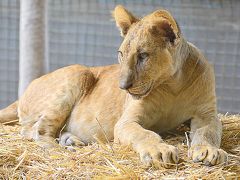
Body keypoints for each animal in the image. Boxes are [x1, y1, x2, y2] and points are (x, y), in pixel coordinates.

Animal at [0, 5, 227, 167]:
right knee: (34, 131)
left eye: (143, 56)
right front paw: (159, 150)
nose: (123, 86)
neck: (173, 85)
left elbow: (208, 133)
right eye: (121, 54)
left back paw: (71, 141)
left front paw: (209, 152)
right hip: (79, 72)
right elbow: (143, 134)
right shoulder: (126, 121)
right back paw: (62, 151)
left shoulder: (206, 114)